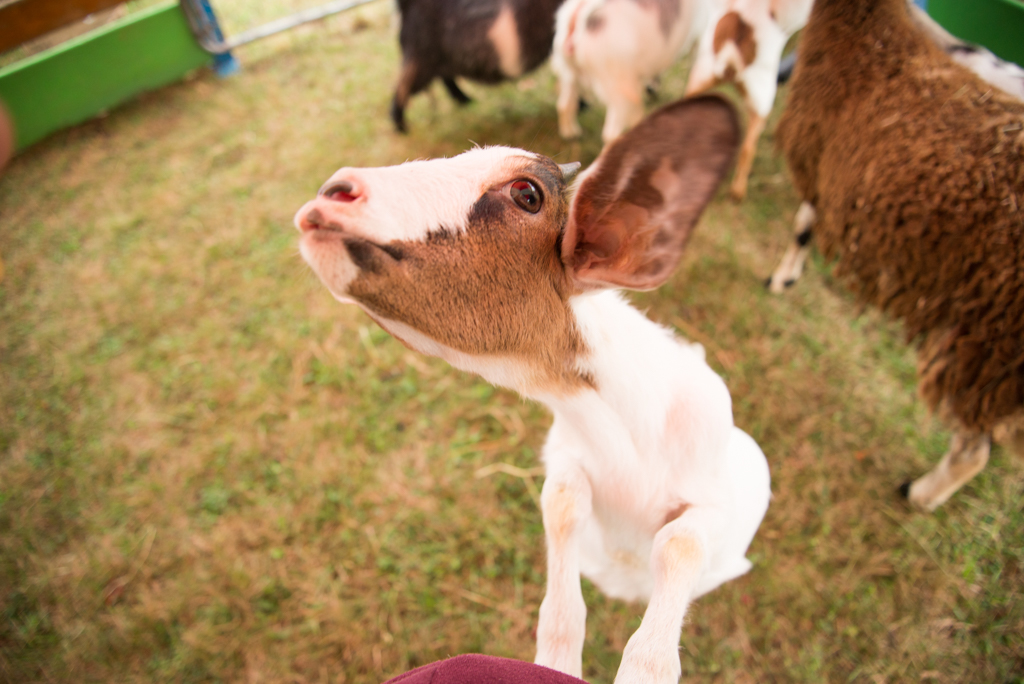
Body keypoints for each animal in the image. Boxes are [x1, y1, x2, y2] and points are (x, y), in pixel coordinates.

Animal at [774, 0, 1024, 507]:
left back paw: (920, 494)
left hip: (990, 348)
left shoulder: (823, 166)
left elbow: (803, 226)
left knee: (975, 450)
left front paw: (783, 277)